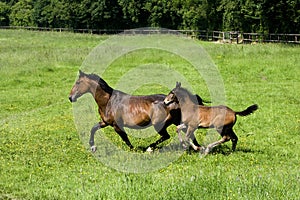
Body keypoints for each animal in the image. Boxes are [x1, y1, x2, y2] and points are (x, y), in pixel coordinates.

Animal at [69, 71, 205, 151]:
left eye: (78, 82)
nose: (70, 97)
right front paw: (92, 146)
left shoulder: (116, 125)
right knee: (189, 133)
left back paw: (150, 148)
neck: (109, 102)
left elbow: (125, 138)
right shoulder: (105, 122)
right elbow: (93, 129)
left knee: (166, 136)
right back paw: (197, 148)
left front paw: (133, 149)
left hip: (159, 125)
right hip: (177, 121)